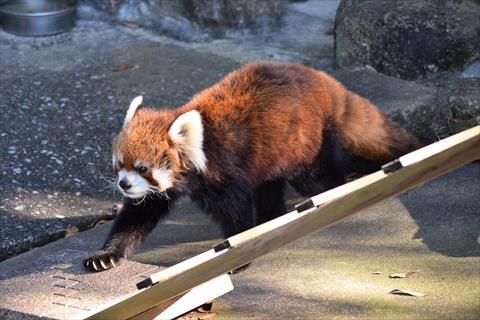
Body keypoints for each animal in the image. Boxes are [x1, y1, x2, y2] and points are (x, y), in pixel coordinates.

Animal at [83, 61, 420, 272]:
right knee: (270, 186)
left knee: (318, 178)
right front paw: (106, 255)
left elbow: (236, 214)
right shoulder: (159, 193)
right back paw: (272, 218)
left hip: (308, 143)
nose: (124, 185)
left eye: (143, 168)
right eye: (119, 165)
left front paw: (237, 254)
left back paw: (337, 188)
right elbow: (136, 217)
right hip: (272, 153)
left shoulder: (225, 171)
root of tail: (327, 83)